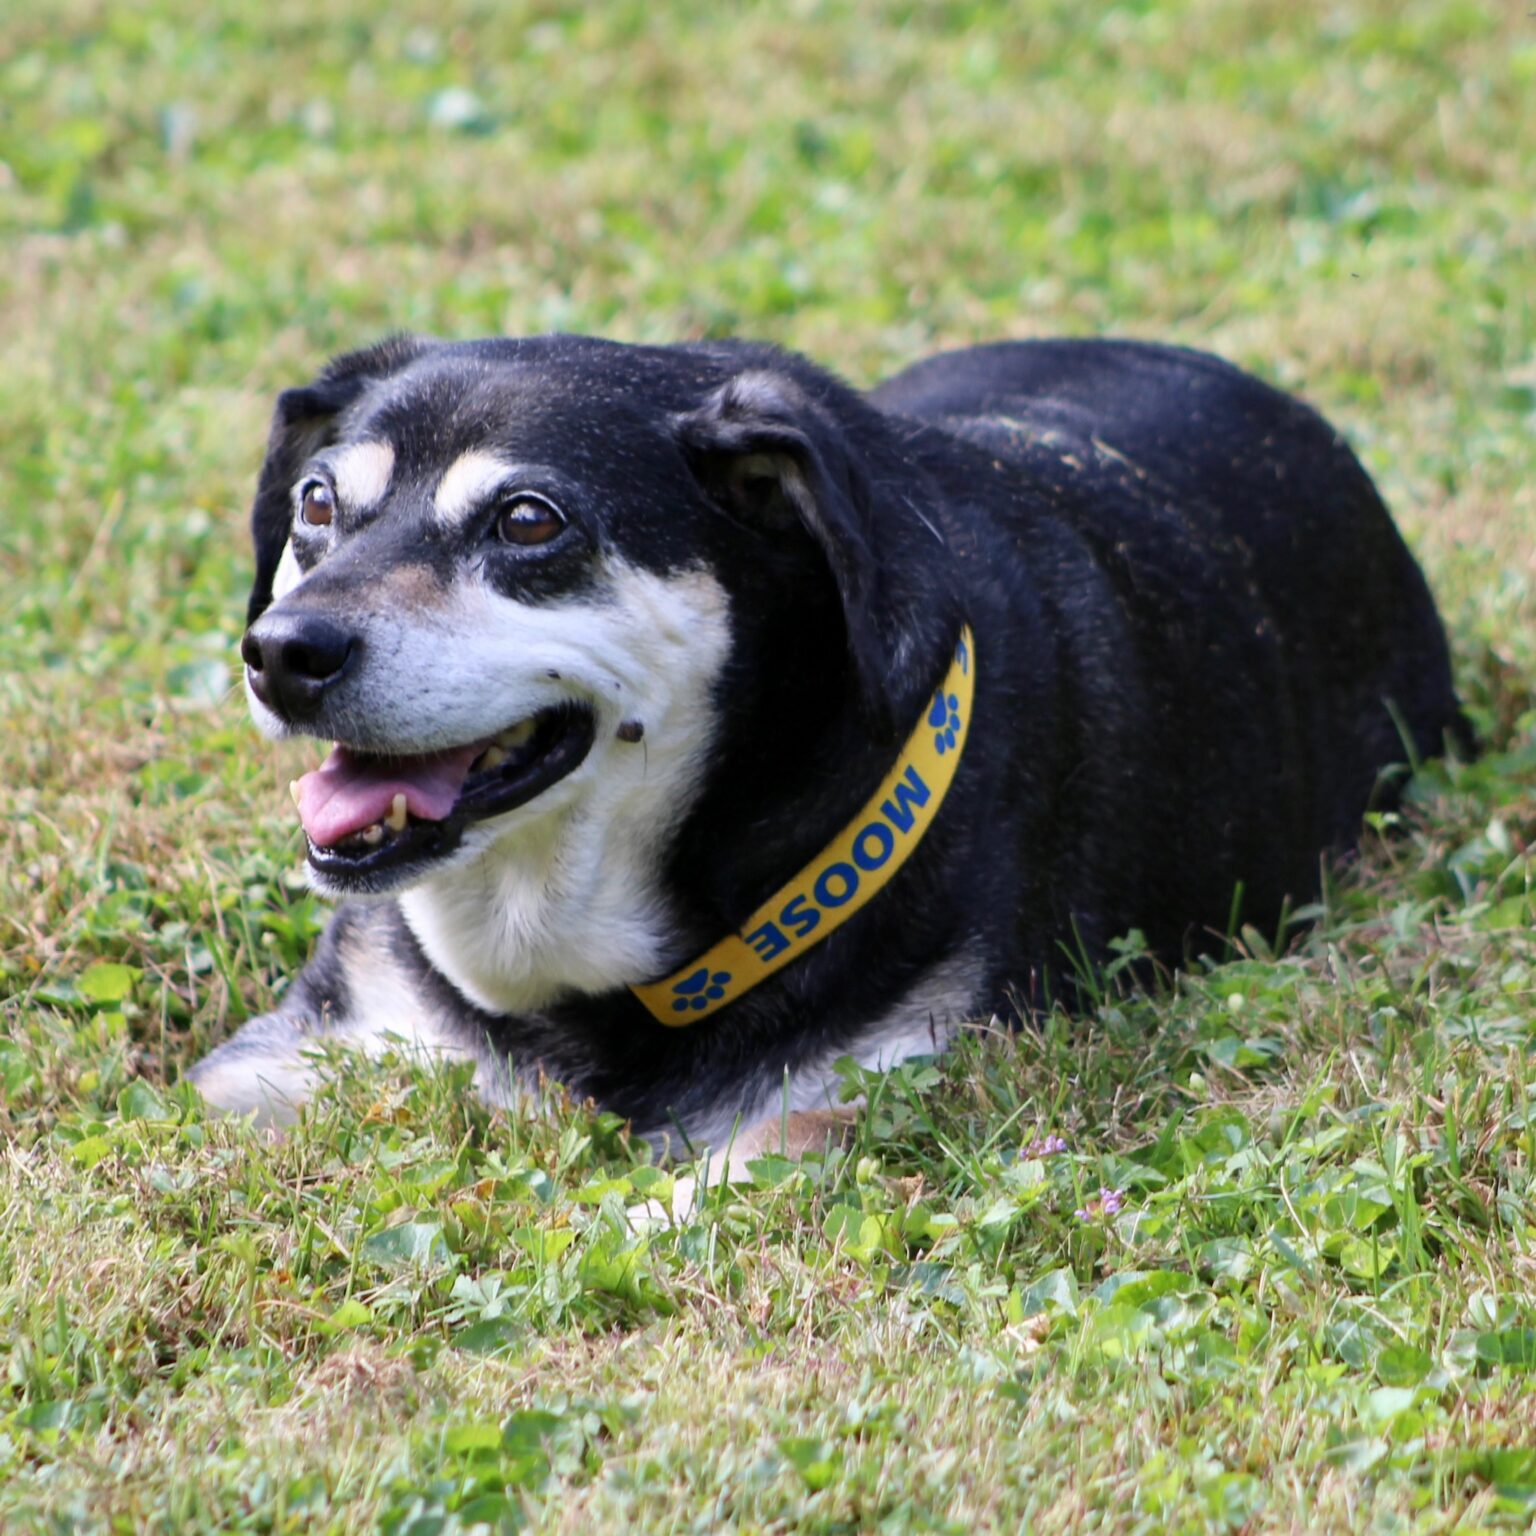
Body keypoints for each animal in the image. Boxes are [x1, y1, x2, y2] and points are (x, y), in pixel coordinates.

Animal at [192, 332, 1467, 1167]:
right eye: (315, 504)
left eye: (527, 520)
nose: (282, 652)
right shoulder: (317, 1038)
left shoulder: (909, 1069)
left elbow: (762, 1147)